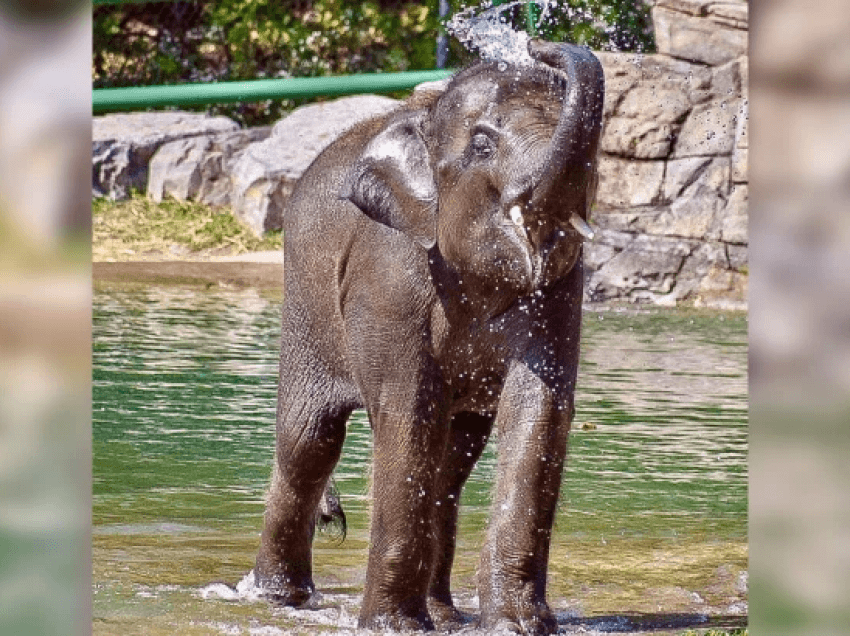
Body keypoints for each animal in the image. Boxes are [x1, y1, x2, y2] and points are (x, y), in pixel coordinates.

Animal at [253, 41, 604, 636]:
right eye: (483, 143)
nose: (538, 45)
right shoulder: (390, 277)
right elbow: (407, 412)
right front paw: (393, 628)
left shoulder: (561, 296)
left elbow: (538, 409)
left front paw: (518, 627)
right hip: (305, 303)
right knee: (308, 442)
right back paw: (278, 599)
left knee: (451, 465)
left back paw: (446, 615)